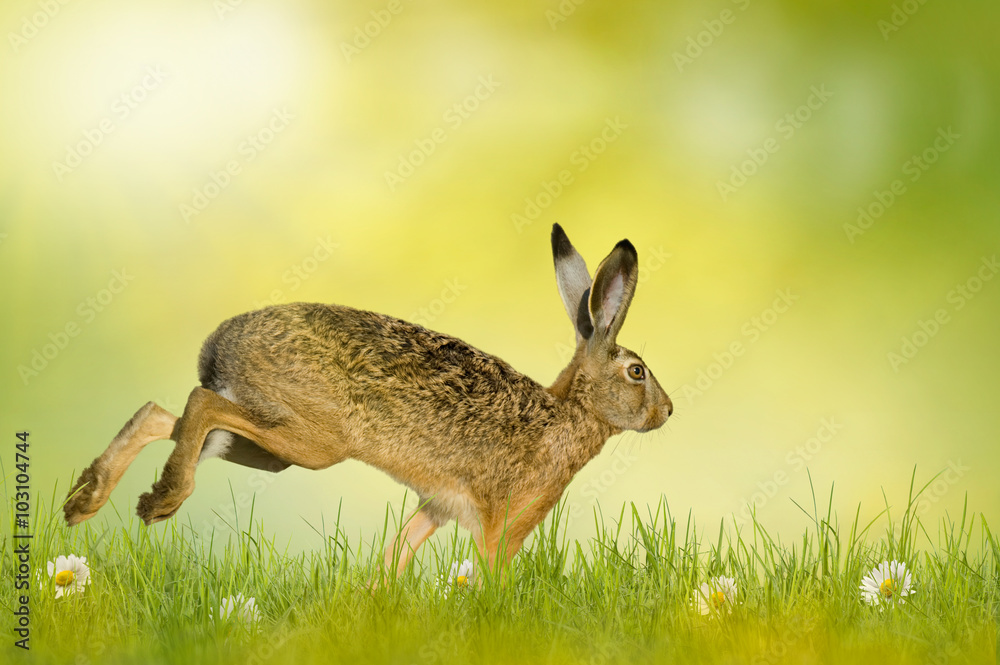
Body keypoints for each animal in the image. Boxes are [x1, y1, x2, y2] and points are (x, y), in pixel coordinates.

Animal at [63, 224, 673, 576]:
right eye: (637, 372)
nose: (667, 412)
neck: (571, 413)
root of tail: (221, 346)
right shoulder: (506, 521)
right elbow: (493, 573)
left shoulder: (437, 507)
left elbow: (397, 553)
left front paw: (381, 605)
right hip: (311, 440)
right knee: (198, 401)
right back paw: (161, 501)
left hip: (264, 444)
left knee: (163, 413)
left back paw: (85, 499)